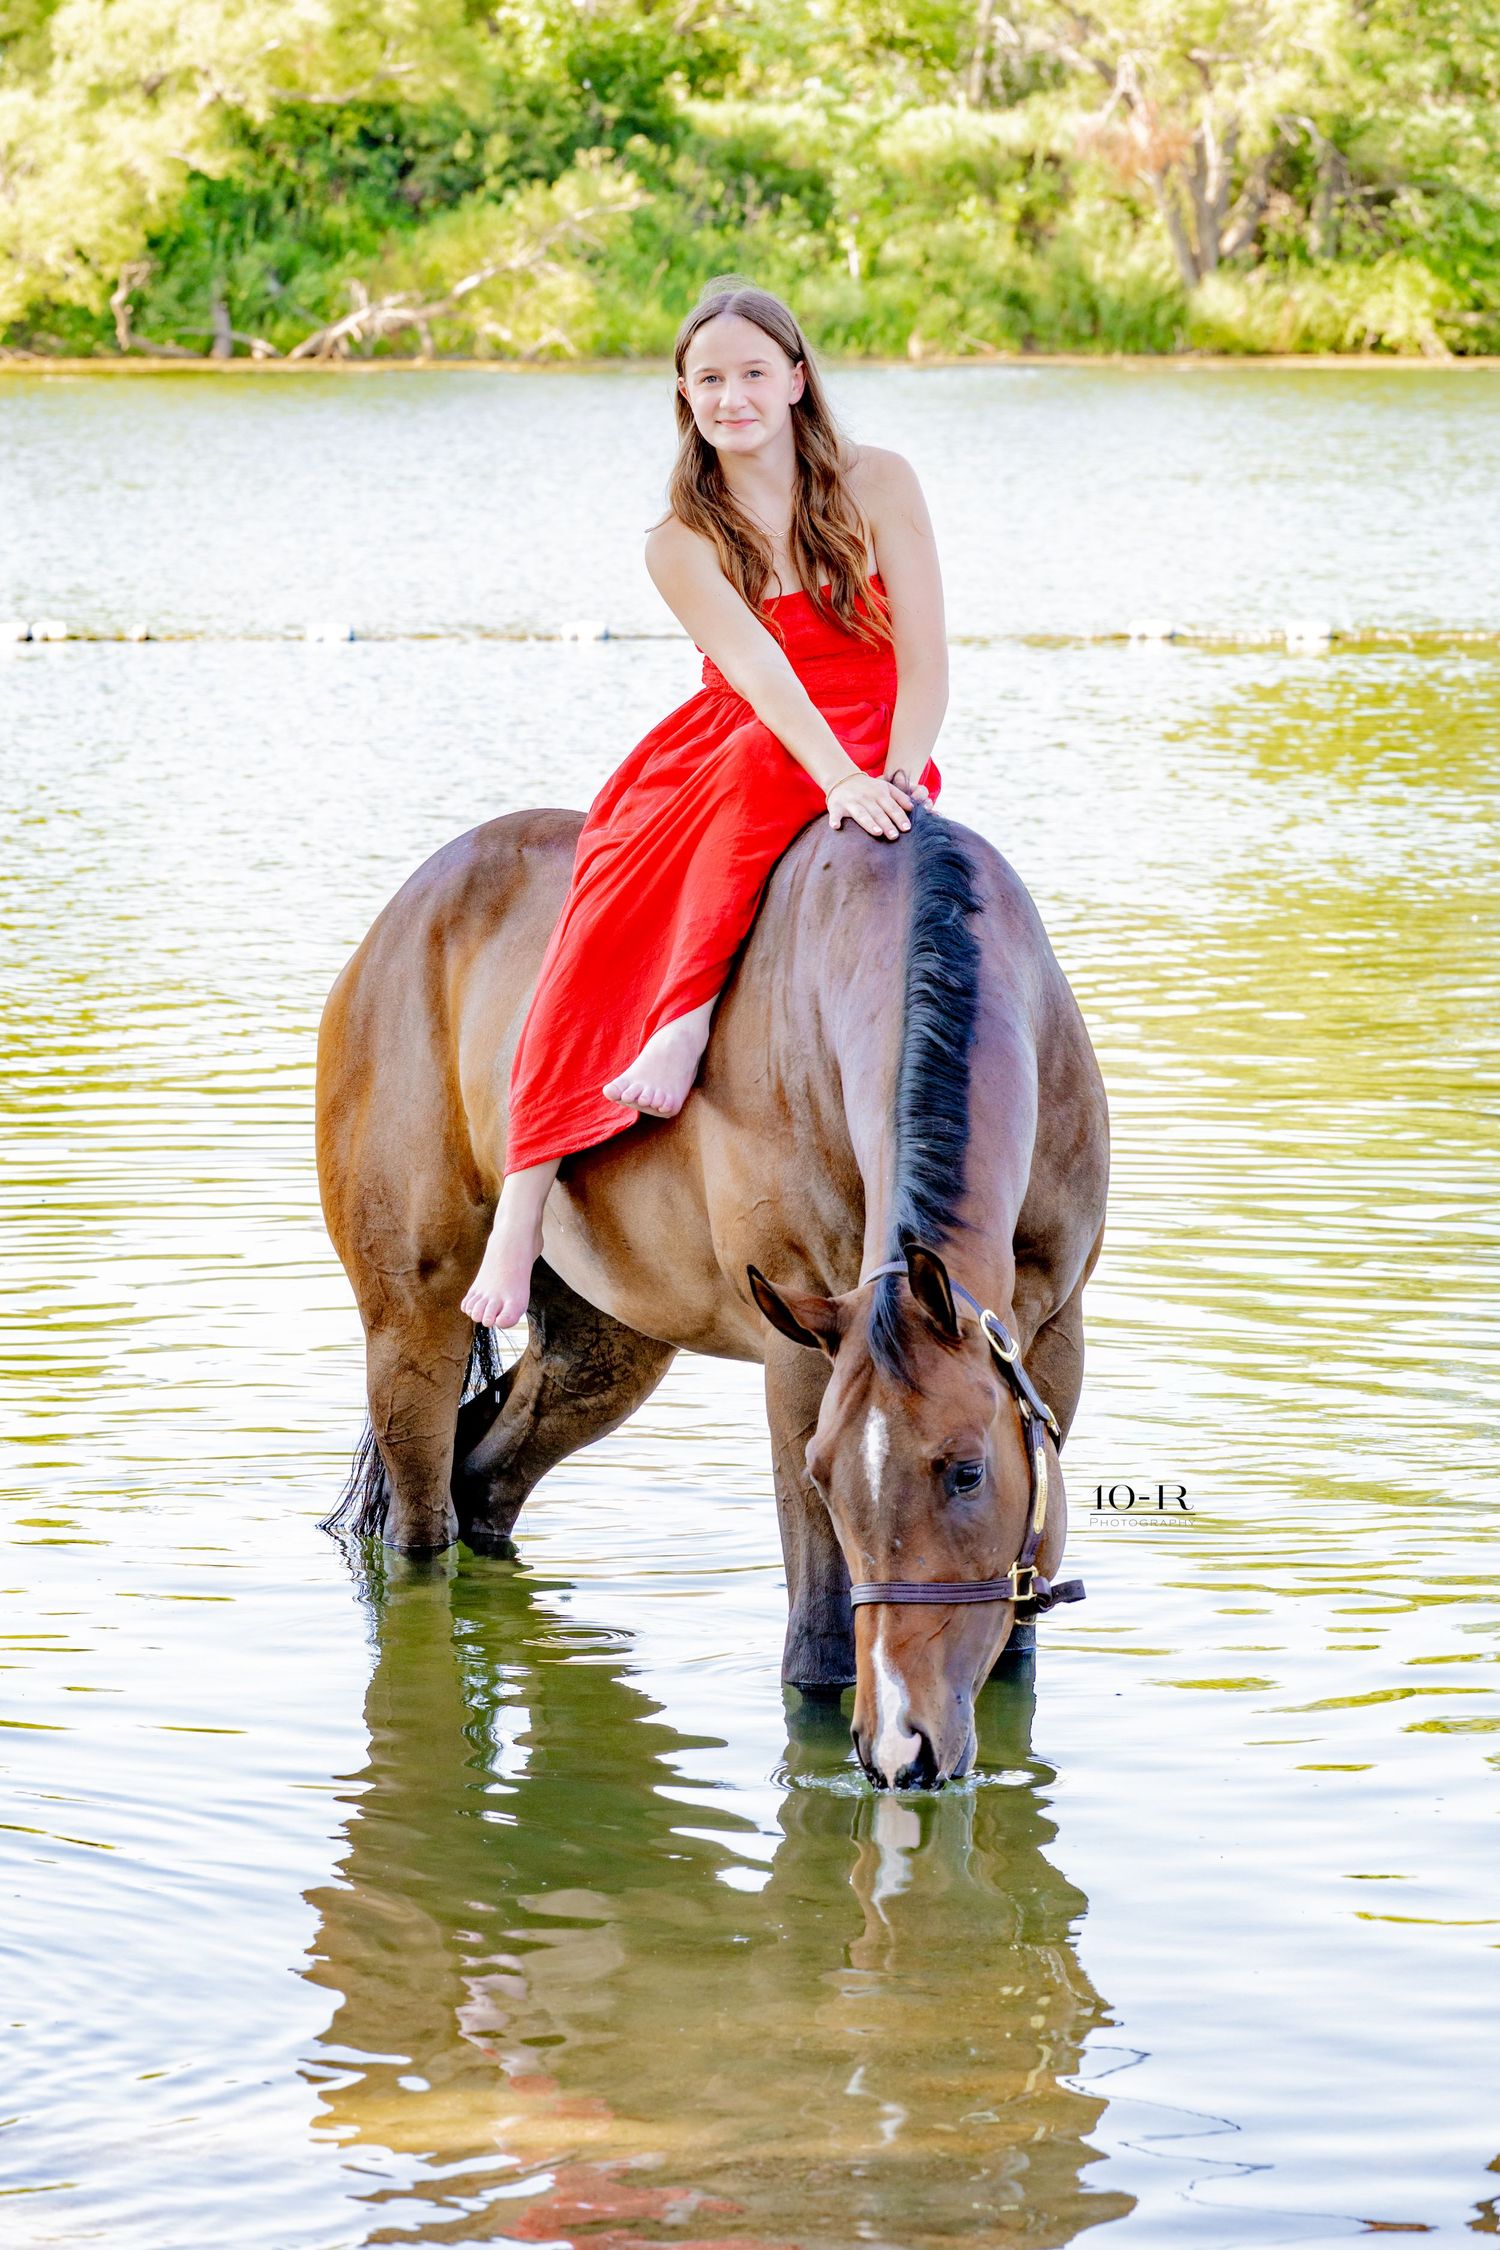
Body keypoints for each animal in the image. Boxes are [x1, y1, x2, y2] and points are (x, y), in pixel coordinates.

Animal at [315, 801, 1109, 1788]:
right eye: (825, 1475)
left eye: (966, 1471)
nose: (905, 1744)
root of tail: (396, 922)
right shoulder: (799, 1354)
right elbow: (818, 1650)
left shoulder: (1053, 1342)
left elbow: (1012, 1650)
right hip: (411, 1329)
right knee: (421, 1530)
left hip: (605, 1352)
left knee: (485, 1482)